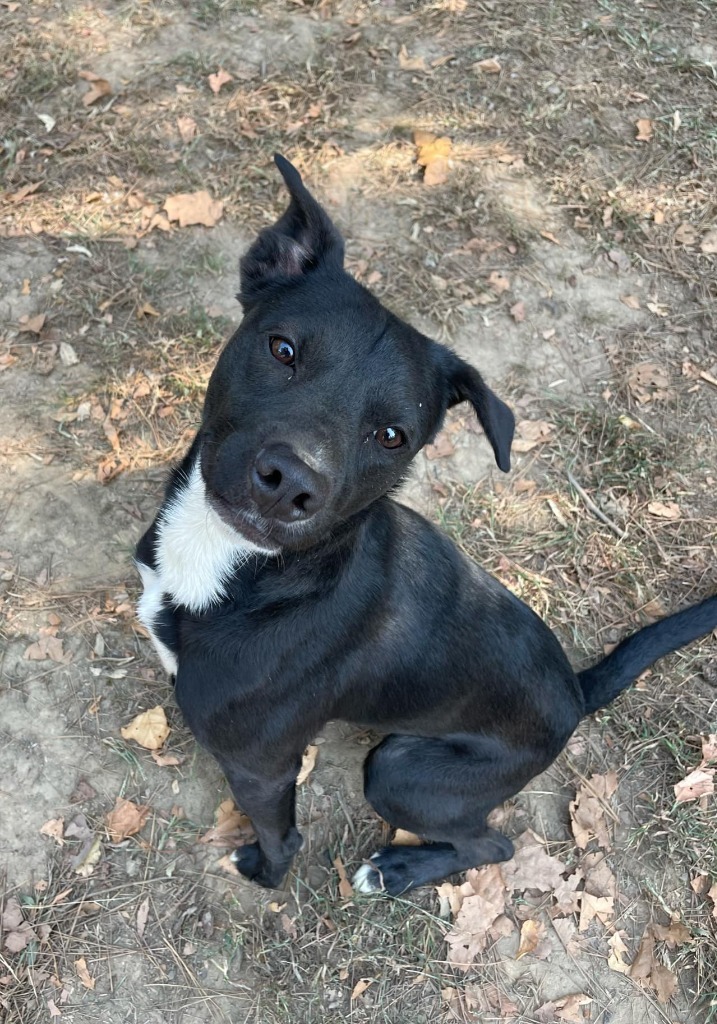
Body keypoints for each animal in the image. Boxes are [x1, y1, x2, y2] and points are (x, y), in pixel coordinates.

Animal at [136, 153, 717, 897]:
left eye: (392, 436)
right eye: (282, 349)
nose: (292, 482)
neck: (243, 566)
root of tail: (572, 692)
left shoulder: (262, 768)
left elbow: (280, 840)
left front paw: (263, 871)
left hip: (401, 771)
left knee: (493, 845)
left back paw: (396, 869)